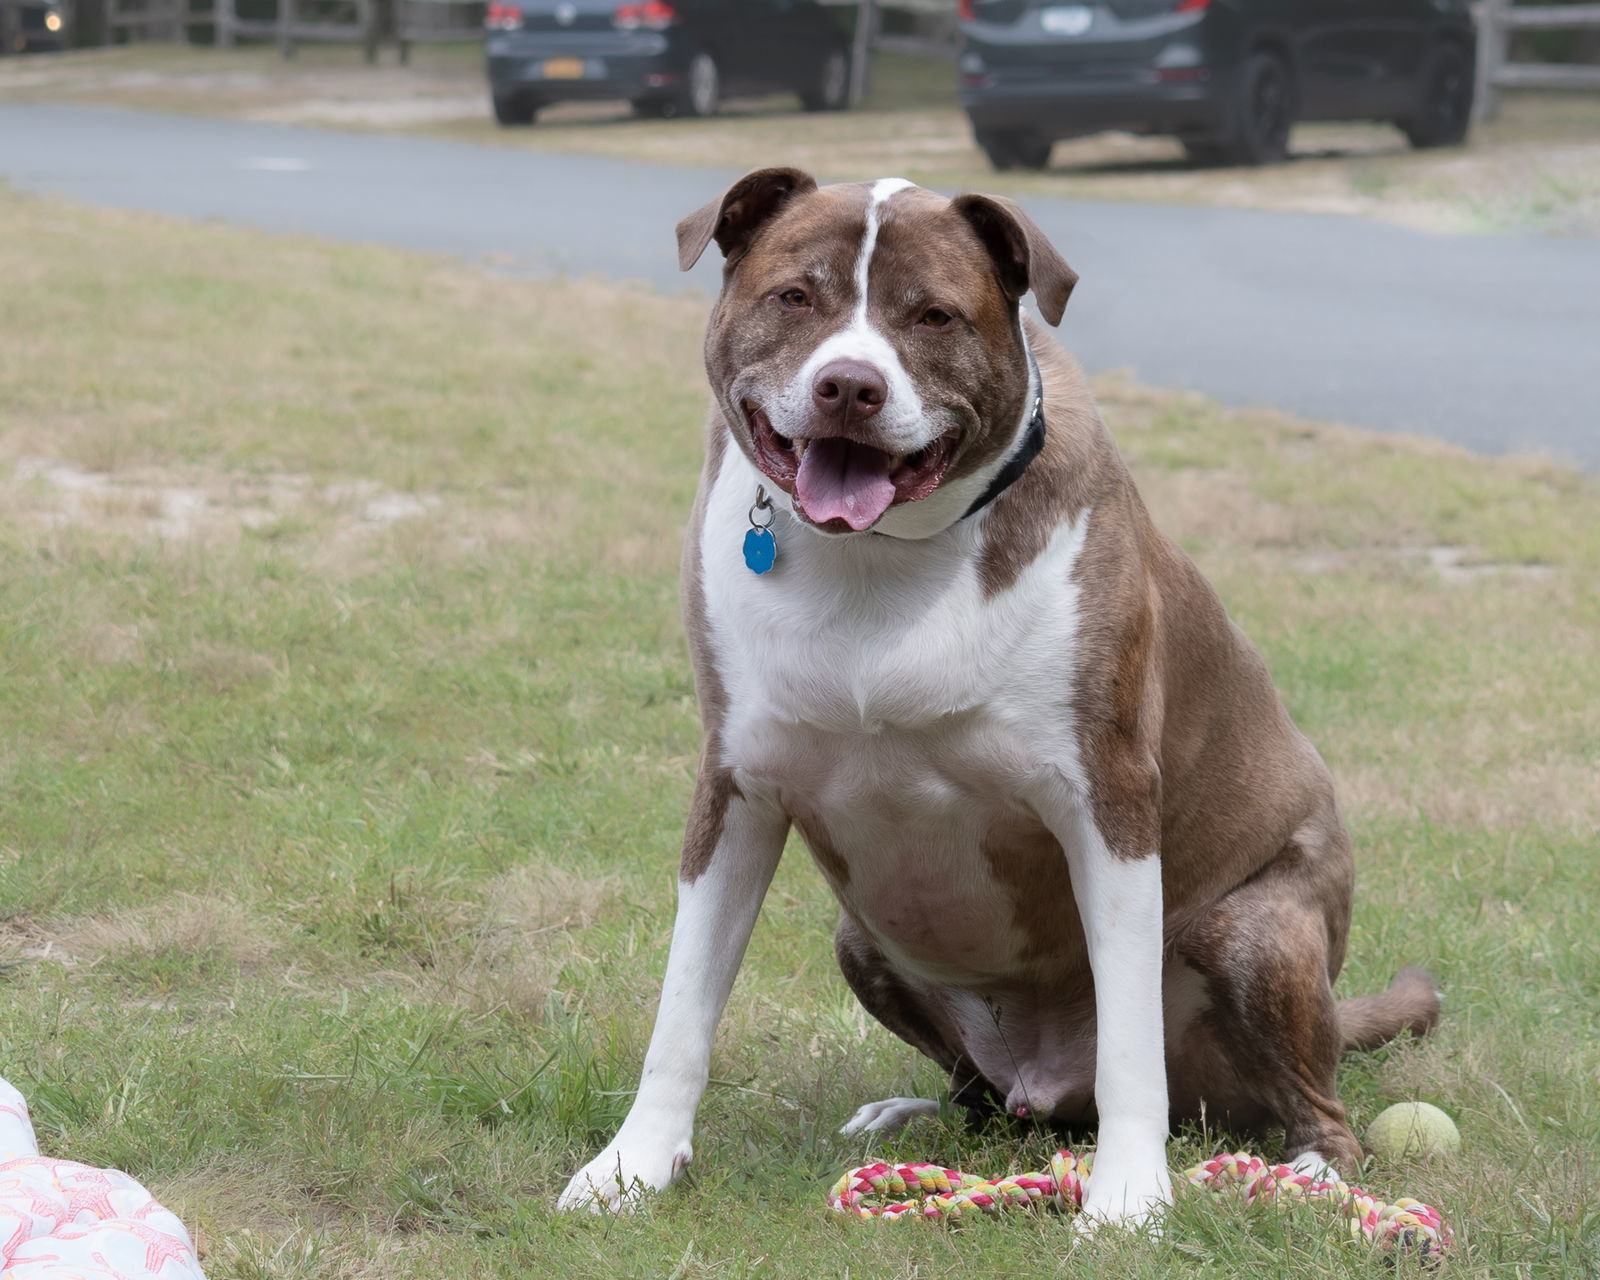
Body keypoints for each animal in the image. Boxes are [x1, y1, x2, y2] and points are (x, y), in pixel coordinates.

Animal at [560, 167, 1440, 1222]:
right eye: (795, 296)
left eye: (934, 315)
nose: (849, 385)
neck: (877, 561)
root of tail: (1048, 1087)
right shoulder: (736, 789)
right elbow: (683, 1009)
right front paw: (631, 1167)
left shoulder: (1108, 801)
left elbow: (1132, 1044)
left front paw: (1128, 1201)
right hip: (862, 939)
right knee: (978, 1095)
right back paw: (913, 1118)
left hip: (1253, 934)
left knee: (1307, 1101)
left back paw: (1310, 1172)